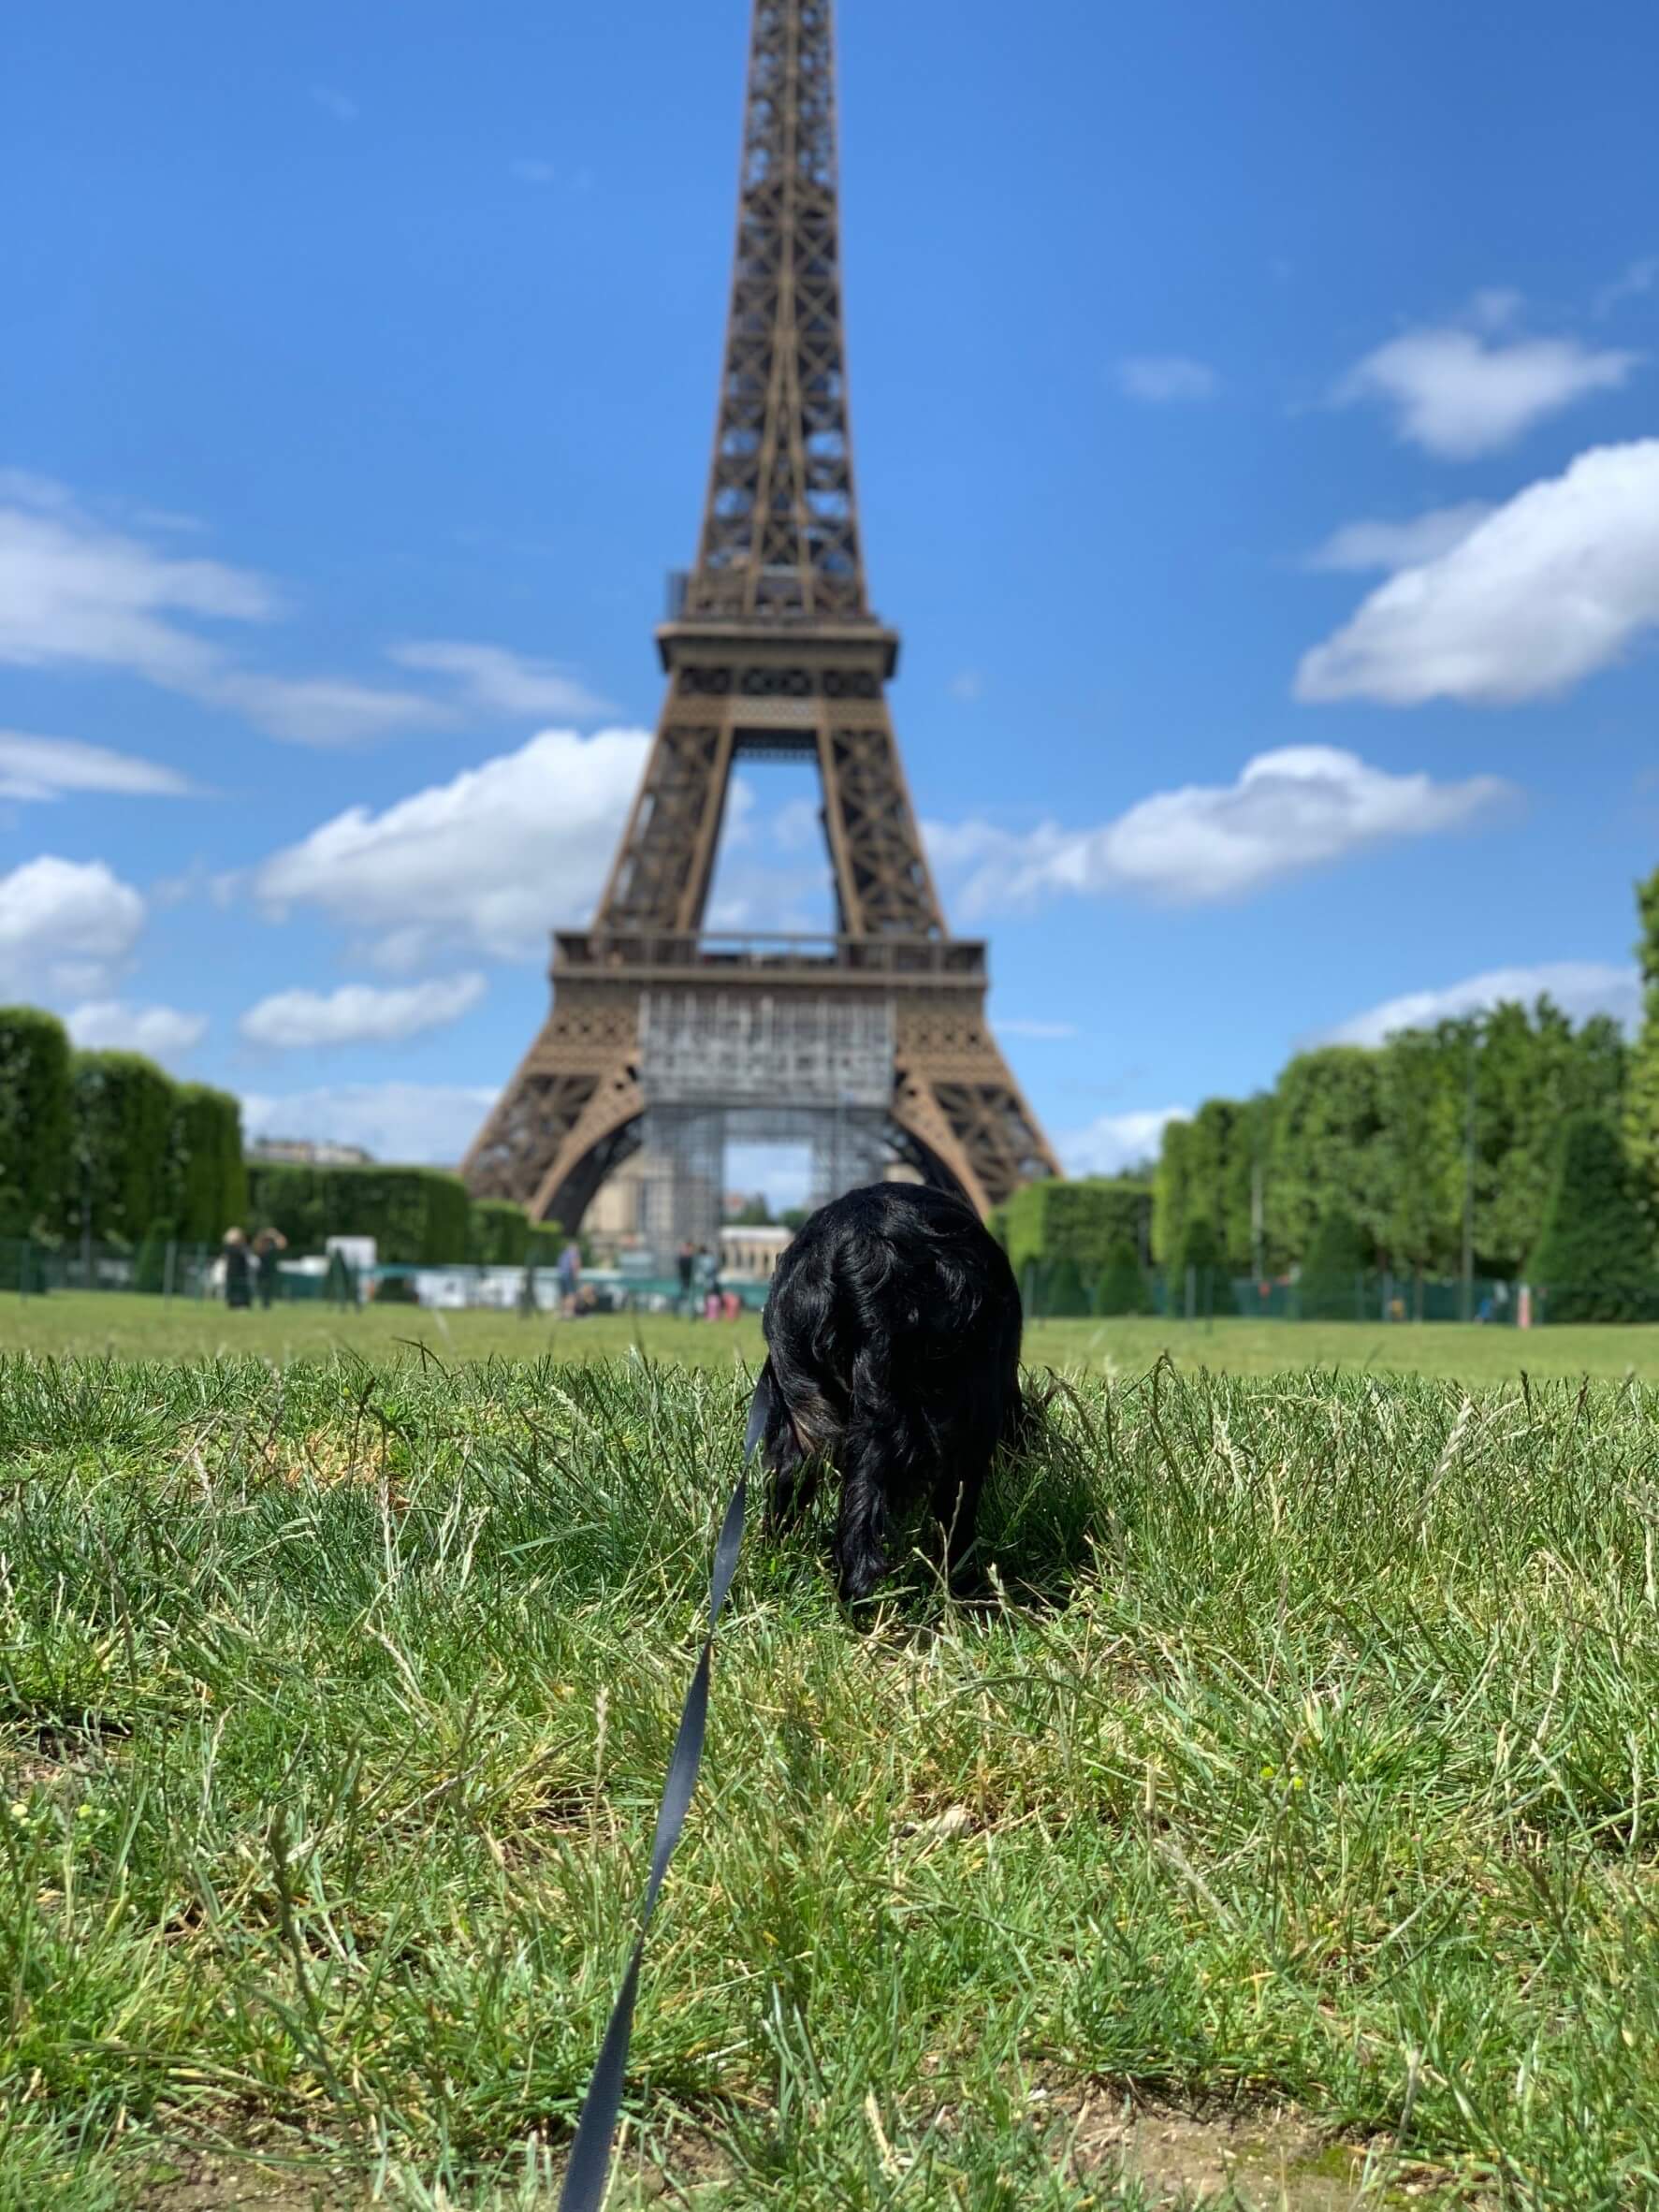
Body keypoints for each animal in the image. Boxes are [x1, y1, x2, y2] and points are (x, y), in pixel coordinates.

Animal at [743, 1186, 1022, 1601]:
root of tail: (868, 1251)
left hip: (801, 1404)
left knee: (791, 1481)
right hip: (973, 1410)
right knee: (954, 1514)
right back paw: (963, 1589)